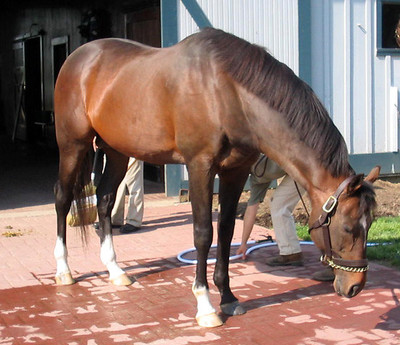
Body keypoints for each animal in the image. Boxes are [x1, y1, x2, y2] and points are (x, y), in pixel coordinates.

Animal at [54, 28, 380, 326]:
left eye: (371, 225)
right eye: (348, 227)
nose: (355, 287)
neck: (226, 92)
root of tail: (78, 57)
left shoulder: (236, 171)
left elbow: (225, 231)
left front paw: (228, 297)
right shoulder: (200, 167)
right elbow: (203, 234)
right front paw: (206, 306)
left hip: (117, 151)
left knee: (105, 200)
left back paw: (116, 271)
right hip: (72, 145)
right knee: (62, 199)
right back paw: (64, 271)